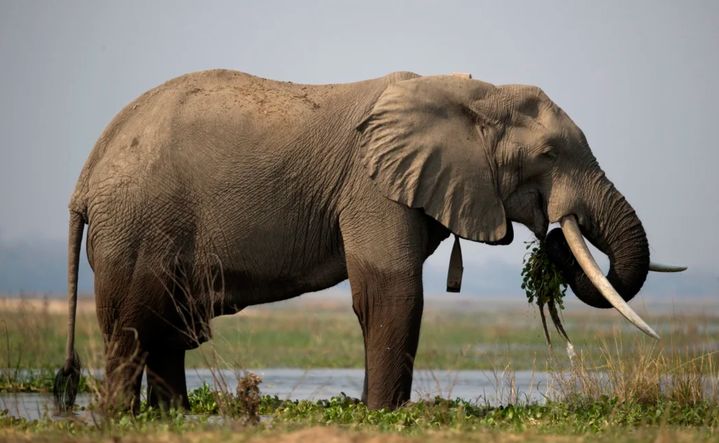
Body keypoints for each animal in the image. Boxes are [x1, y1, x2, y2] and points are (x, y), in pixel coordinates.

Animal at [53, 69, 684, 412]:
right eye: (549, 155)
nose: (553, 240)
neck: (472, 91)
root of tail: (85, 174)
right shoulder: (372, 186)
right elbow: (392, 294)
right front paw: (382, 414)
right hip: (137, 225)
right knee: (135, 329)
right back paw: (122, 417)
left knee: (166, 331)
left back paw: (176, 417)